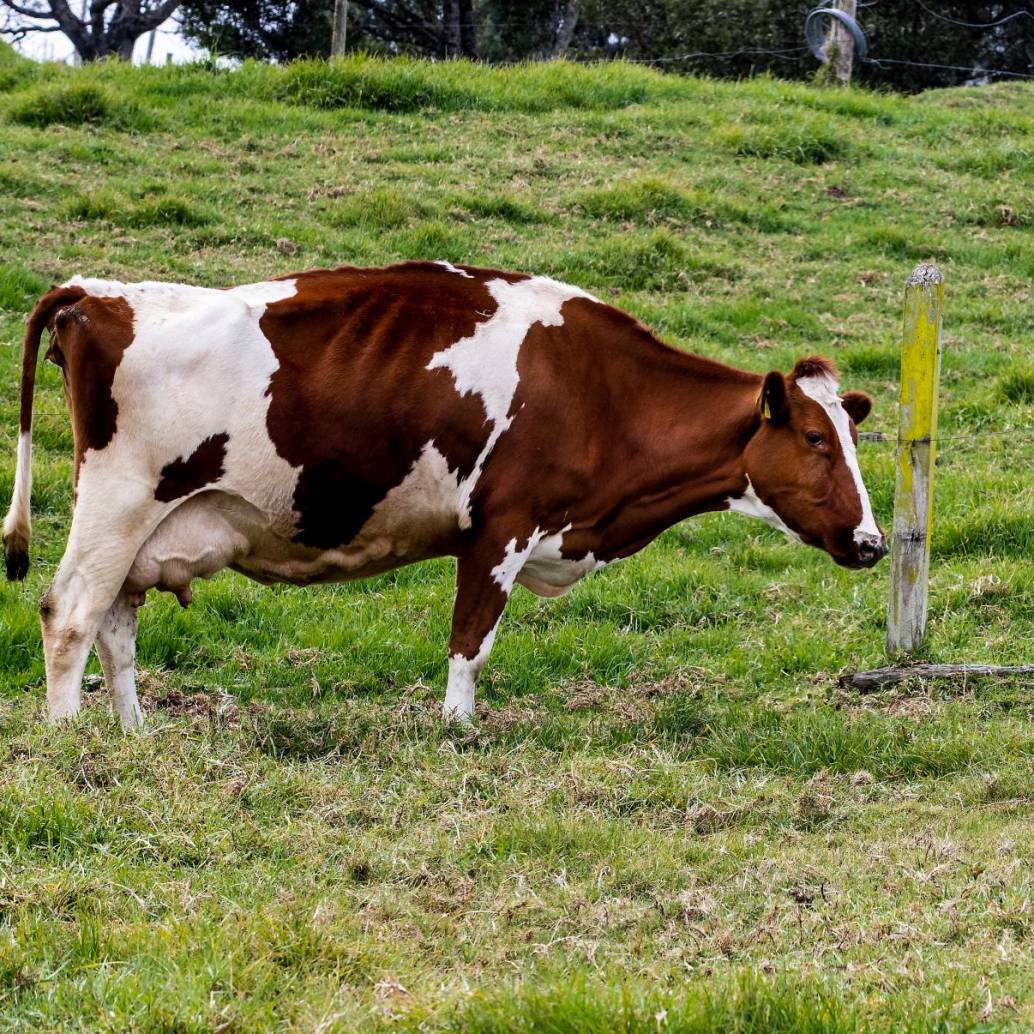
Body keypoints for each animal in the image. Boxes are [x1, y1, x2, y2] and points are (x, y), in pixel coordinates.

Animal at [2, 260, 889, 727]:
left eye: (853, 439)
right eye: (816, 441)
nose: (873, 542)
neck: (599, 387)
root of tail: (96, 291)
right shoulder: (501, 527)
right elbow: (471, 641)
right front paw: (457, 730)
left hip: (147, 531)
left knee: (115, 628)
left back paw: (134, 735)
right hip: (118, 502)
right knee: (70, 612)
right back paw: (70, 740)